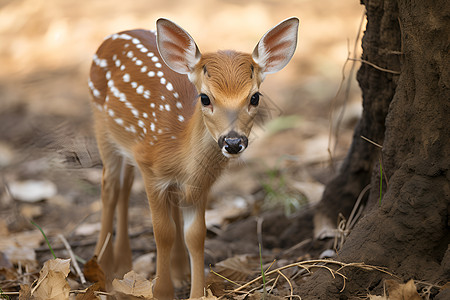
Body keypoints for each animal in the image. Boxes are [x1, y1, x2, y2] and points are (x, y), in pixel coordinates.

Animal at [88, 17, 298, 298]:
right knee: (110, 187)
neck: (177, 145)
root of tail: (116, 34)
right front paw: (162, 291)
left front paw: (196, 292)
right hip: (102, 126)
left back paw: (142, 268)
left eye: (254, 97)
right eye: (205, 97)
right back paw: (102, 269)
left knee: (126, 187)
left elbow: (196, 235)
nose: (233, 142)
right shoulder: (150, 168)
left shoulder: (199, 183)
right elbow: (163, 231)